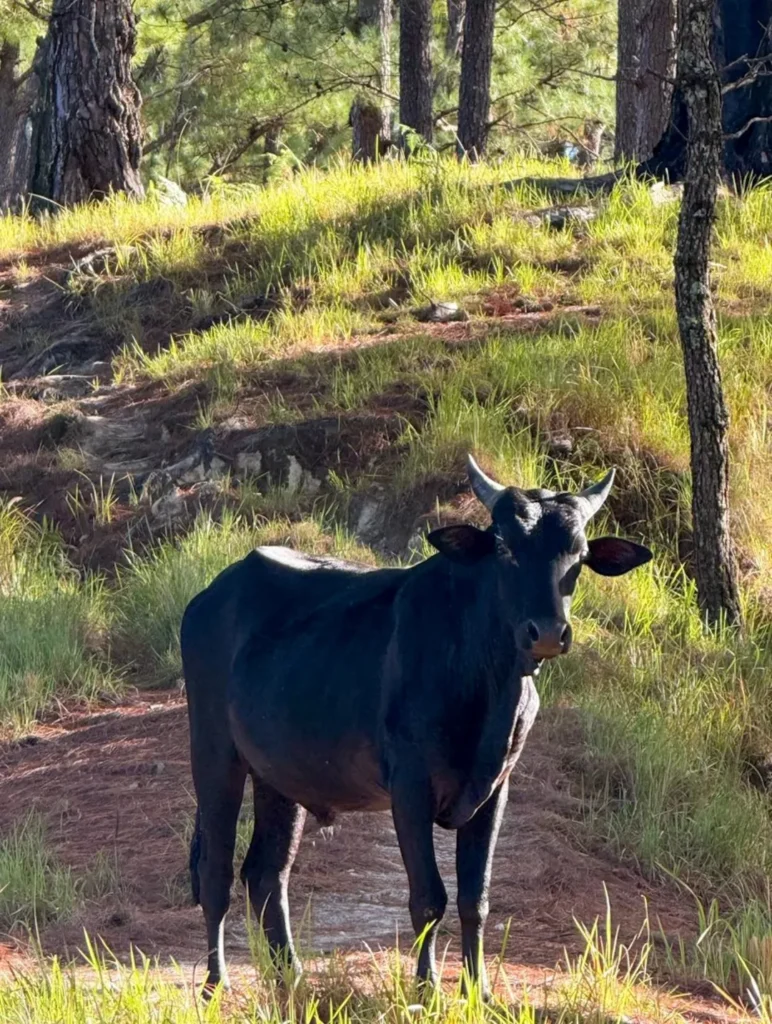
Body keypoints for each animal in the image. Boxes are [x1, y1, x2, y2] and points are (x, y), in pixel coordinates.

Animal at [182, 456, 652, 997]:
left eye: (578, 553)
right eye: (505, 547)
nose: (549, 633)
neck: (490, 686)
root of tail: (213, 592)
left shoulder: (495, 789)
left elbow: (475, 898)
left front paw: (477, 990)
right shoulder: (410, 787)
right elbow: (429, 896)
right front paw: (426, 990)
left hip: (280, 776)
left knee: (266, 872)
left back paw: (292, 977)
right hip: (214, 753)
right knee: (215, 872)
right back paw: (216, 983)